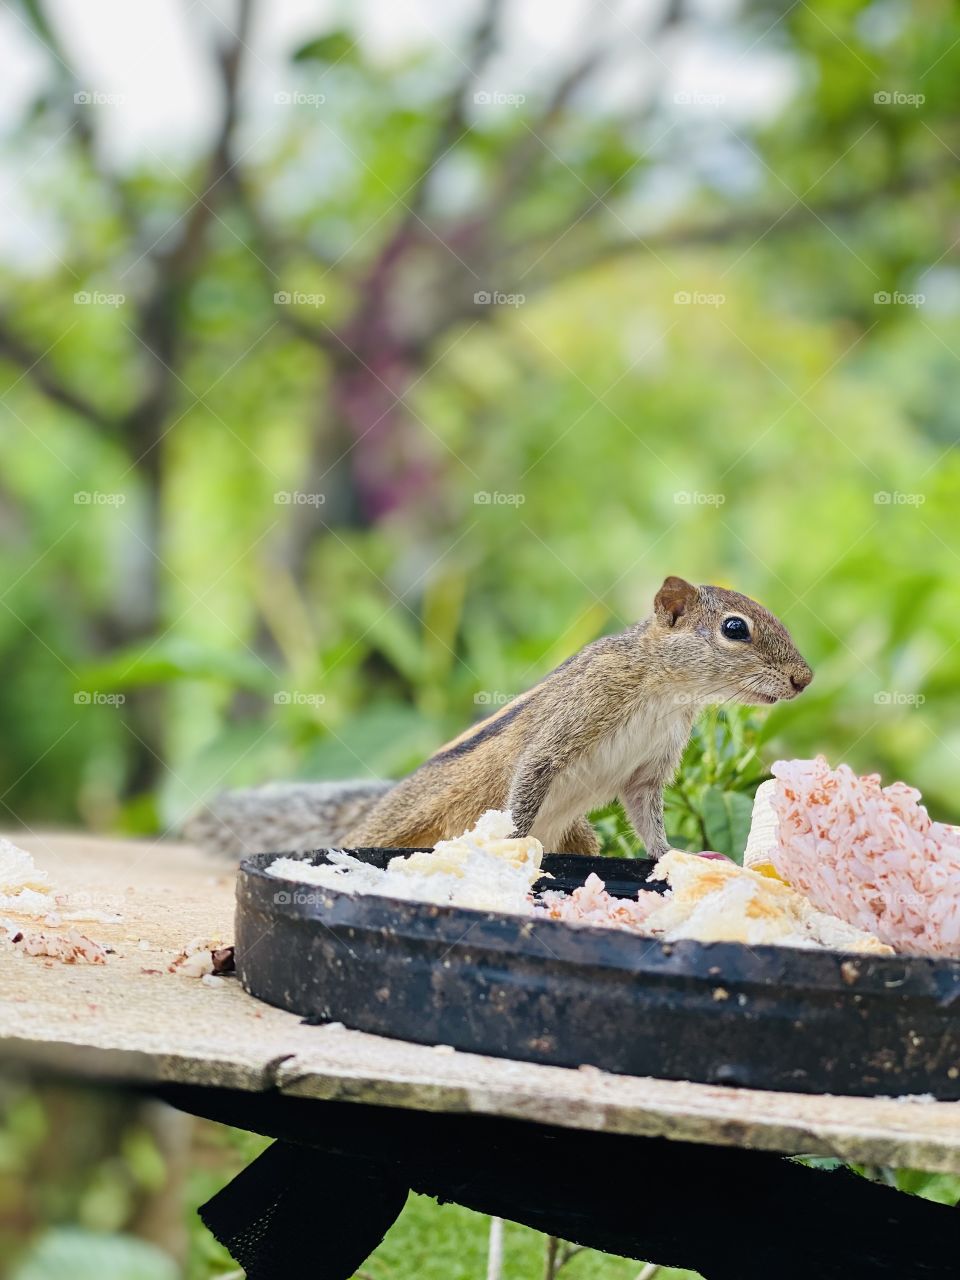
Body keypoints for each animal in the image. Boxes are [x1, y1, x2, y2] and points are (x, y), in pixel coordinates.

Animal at [185, 577, 812, 860]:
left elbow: (647, 815)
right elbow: (532, 771)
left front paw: (673, 857)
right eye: (735, 628)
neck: (668, 693)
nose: (803, 680)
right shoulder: (572, 717)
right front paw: (510, 846)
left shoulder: (648, 772)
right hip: (395, 831)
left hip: (579, 835)